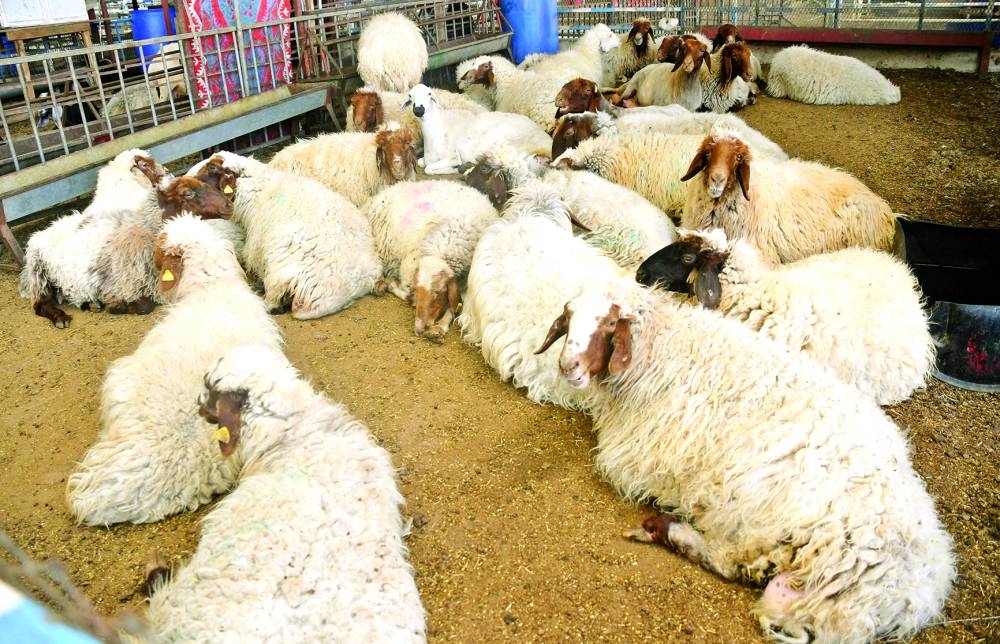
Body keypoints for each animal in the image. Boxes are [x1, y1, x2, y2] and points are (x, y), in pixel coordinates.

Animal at [19, 167, 234, 328]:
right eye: (187, 193)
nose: (229, 206)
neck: (144, 229)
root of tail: (44, 230)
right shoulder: (121, 285)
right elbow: (144, 306)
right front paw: (114, 306)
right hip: (38, 274)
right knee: (40, 305)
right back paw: (61, 318)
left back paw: (89, 303)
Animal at [363, 179, 499, 340]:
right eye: (418, 289)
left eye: (438, 292)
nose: (418, 330)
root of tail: (390, 188)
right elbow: (410, 297)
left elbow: (456, 305)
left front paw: (440, 327)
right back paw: (379, 284)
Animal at [403, 83, 551, 175]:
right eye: (410, 96)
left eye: (429, 94)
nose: (418, 110)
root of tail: (546, 140)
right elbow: (422, 163)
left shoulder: (452, 155)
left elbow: (429, 168)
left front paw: (454, 168)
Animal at [534, 281, 954, 643]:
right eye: (569, 317)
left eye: (608, 324)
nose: (568, 366)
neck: (662, 349)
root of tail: (909, 592)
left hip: (760, 524)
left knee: (729, 564)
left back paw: (662, 528)